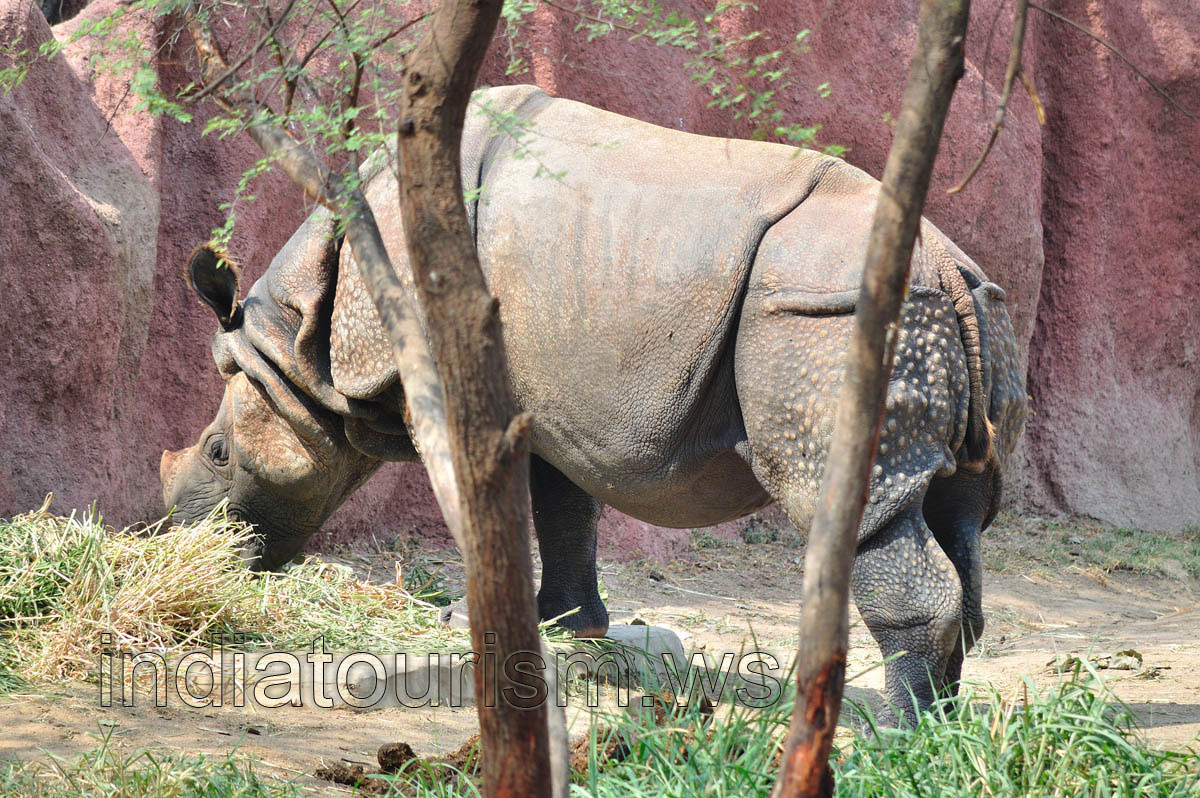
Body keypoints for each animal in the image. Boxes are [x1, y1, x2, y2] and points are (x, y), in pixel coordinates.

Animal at [161, 84, 1026, 719]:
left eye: (218, 453)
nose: (177, 534)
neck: (301, 335)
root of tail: (945, 270)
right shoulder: (550, 395)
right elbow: (563, 501)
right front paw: (566, 626)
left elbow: (494, 496)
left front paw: (471, 621)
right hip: (964, 316)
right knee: (954, 511)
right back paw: (939, 732)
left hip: (828, 319)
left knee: (849, 501)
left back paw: (890, 738)